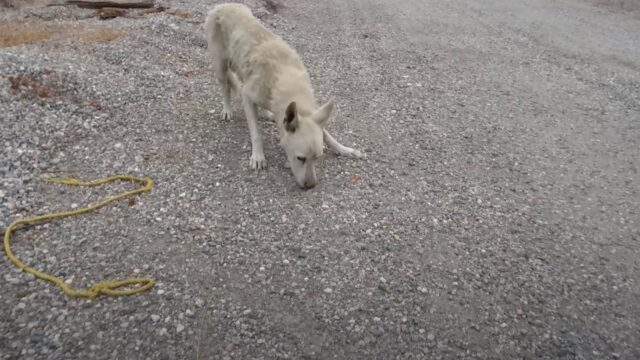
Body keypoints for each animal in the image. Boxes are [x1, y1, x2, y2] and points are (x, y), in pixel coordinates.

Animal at [206, 3, 364, 188]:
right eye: (300, 158)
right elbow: (256, 133)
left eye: (317, 157)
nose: (311, 186)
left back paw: (266, 113)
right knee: (225, 88)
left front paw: (344, 149)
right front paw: (258, 156)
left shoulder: (310, 115)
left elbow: (327, 135)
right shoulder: (247, 95)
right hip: (220, 67)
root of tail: (224, 5)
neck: (288, 81)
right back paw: (227, 110)